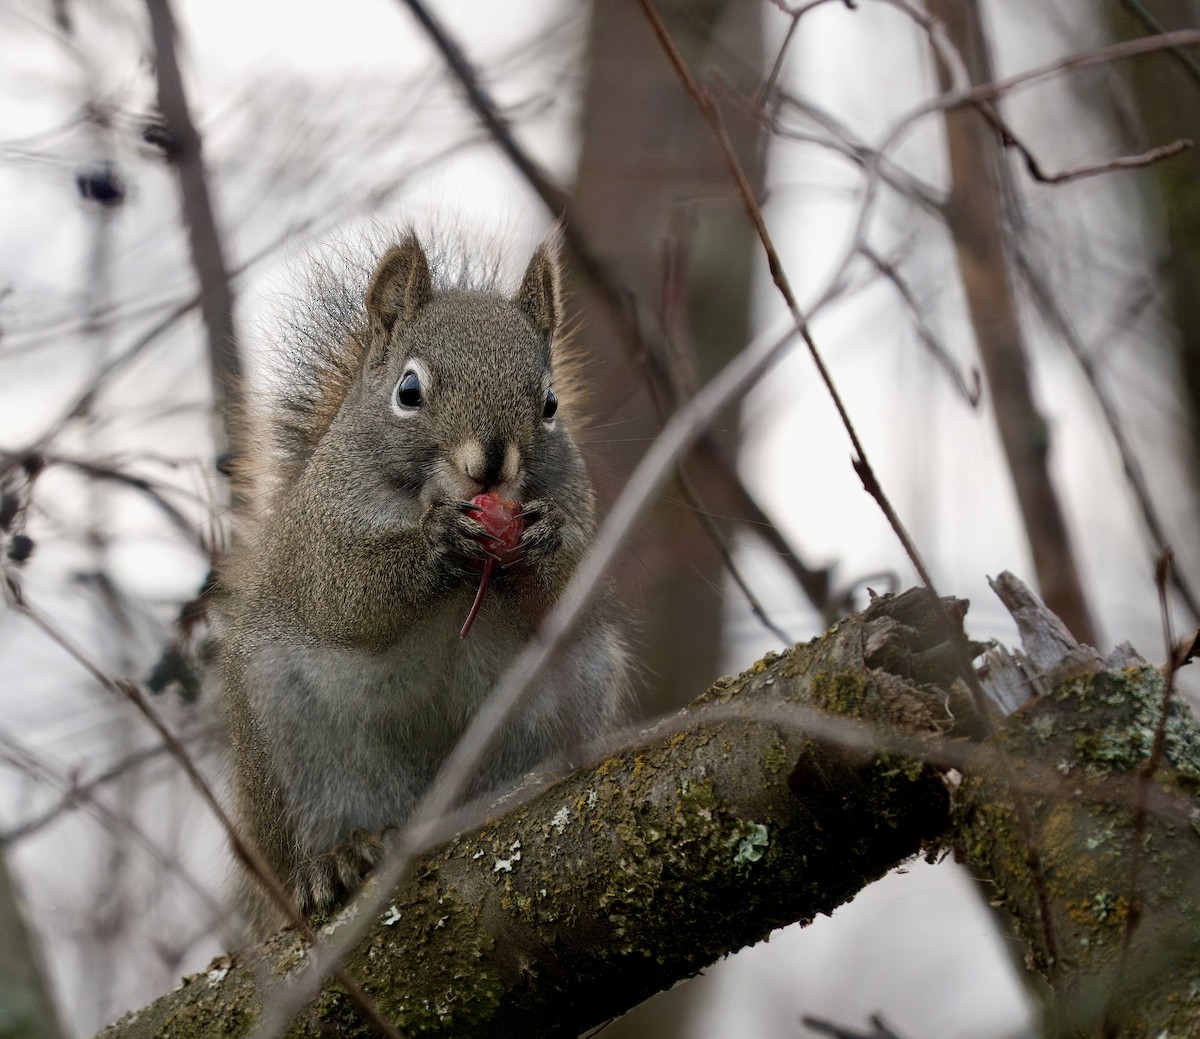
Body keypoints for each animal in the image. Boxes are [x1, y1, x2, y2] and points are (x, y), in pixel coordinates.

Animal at [216, 229, 630, 935]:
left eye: (550, 404)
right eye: (408, 391)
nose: (490, 464)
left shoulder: (582, 514)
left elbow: (569, 592)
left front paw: (543, 541)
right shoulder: (320, 538)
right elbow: (351, 595)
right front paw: (437, 545)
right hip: (282, 748)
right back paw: (327, 862)